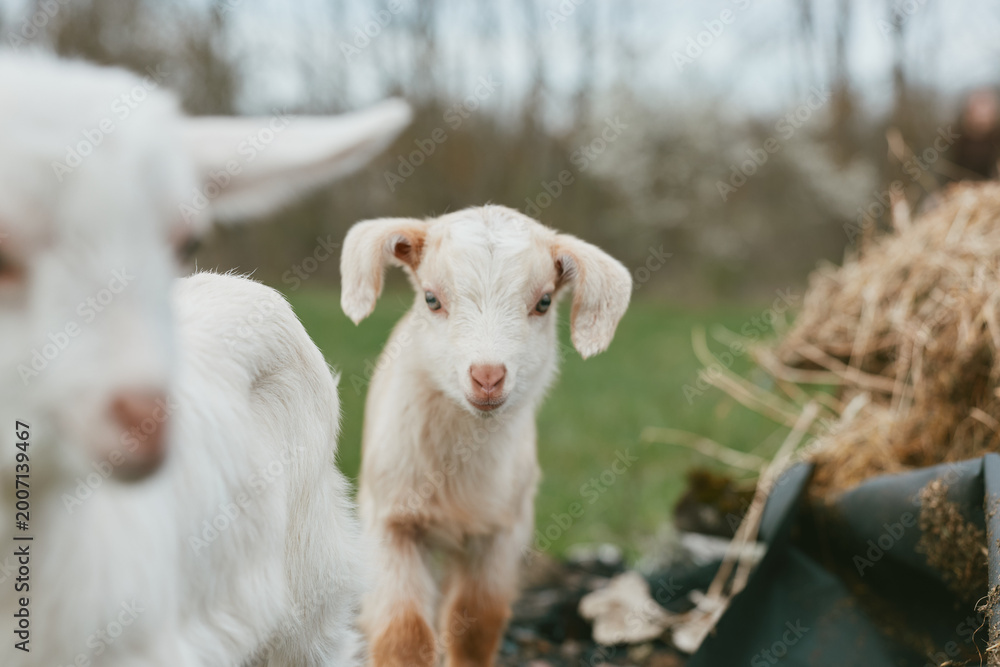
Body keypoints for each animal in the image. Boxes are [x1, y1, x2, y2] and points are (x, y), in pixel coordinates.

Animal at [340, 205, 632, 666]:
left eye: (544, 302)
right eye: (431, 298)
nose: (488, 377)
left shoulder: (501, 532)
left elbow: (476, 622)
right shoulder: (390, 520)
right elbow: (405, 633)